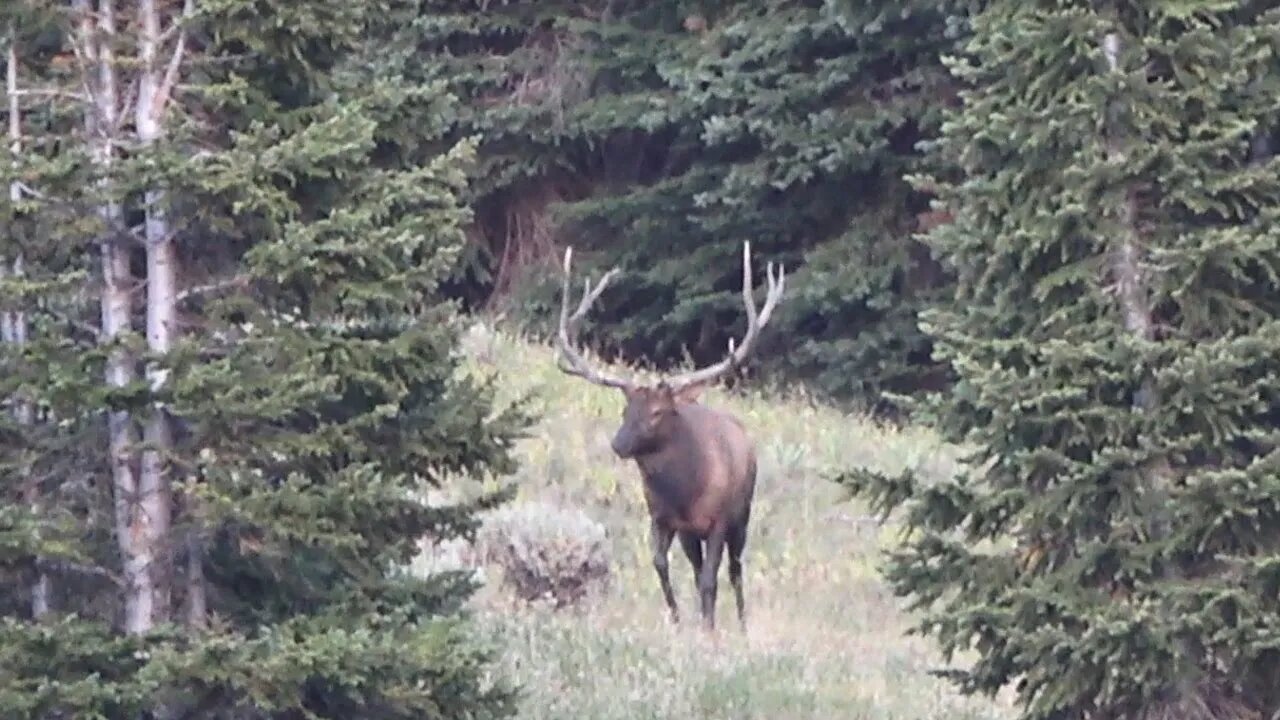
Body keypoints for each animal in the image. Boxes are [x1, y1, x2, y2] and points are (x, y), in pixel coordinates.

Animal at [555, 240, 783, 627]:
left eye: (657, 412)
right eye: (625, 410)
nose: (618, 444)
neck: (685, 491)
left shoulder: (718, 519)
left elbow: (710, 580)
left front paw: (709, 629)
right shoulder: (665, 518)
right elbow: (661, 565)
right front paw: (678, 620)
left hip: (743, 515)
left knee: (735, 570)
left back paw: (740, 623)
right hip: (694, 534)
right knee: (699, 570)